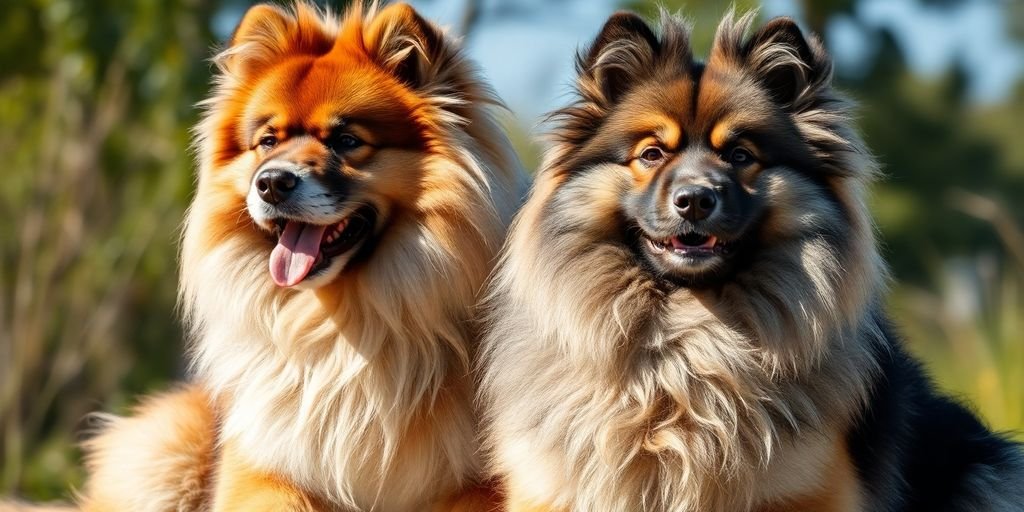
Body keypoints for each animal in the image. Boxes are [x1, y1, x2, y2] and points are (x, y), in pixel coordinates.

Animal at [80, 2, 528, 509]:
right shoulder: (261, 466)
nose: (272, 182)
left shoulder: (477, 483)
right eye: (268, 141)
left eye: (347, 141)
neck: (346, 329)